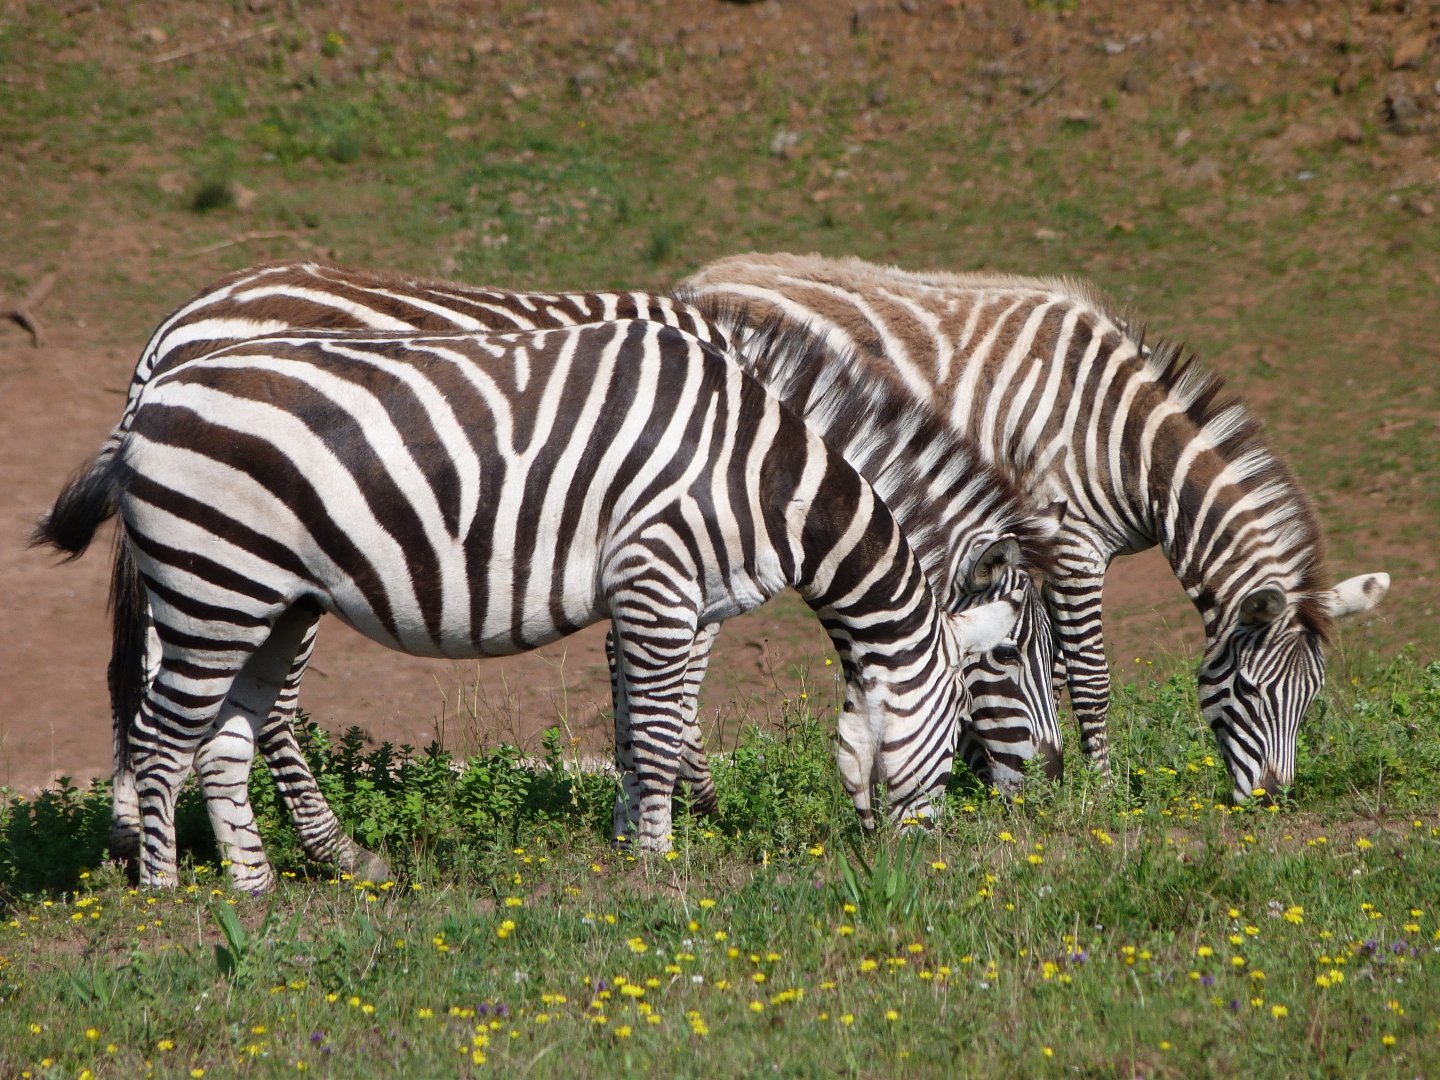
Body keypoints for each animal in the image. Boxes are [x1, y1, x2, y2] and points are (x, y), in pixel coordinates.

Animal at [90, 261, 1064, 876]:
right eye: (1014, 656)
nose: (1056, 788)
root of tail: (173, 333)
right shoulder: (667, 562)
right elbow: (672, 697)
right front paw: (691, 814)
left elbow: (638, 699)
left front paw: (643, 818)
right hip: (246, 561)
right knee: (245, 707)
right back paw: (306, 854)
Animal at [681, 252, 1390, 803]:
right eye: (1246, 688)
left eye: (1312, 697)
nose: (1272, 799)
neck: (1124, 444)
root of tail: (702, 278)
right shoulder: (1075, 547)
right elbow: (1091, 679)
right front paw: (1101, 790)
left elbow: (1043, 663)